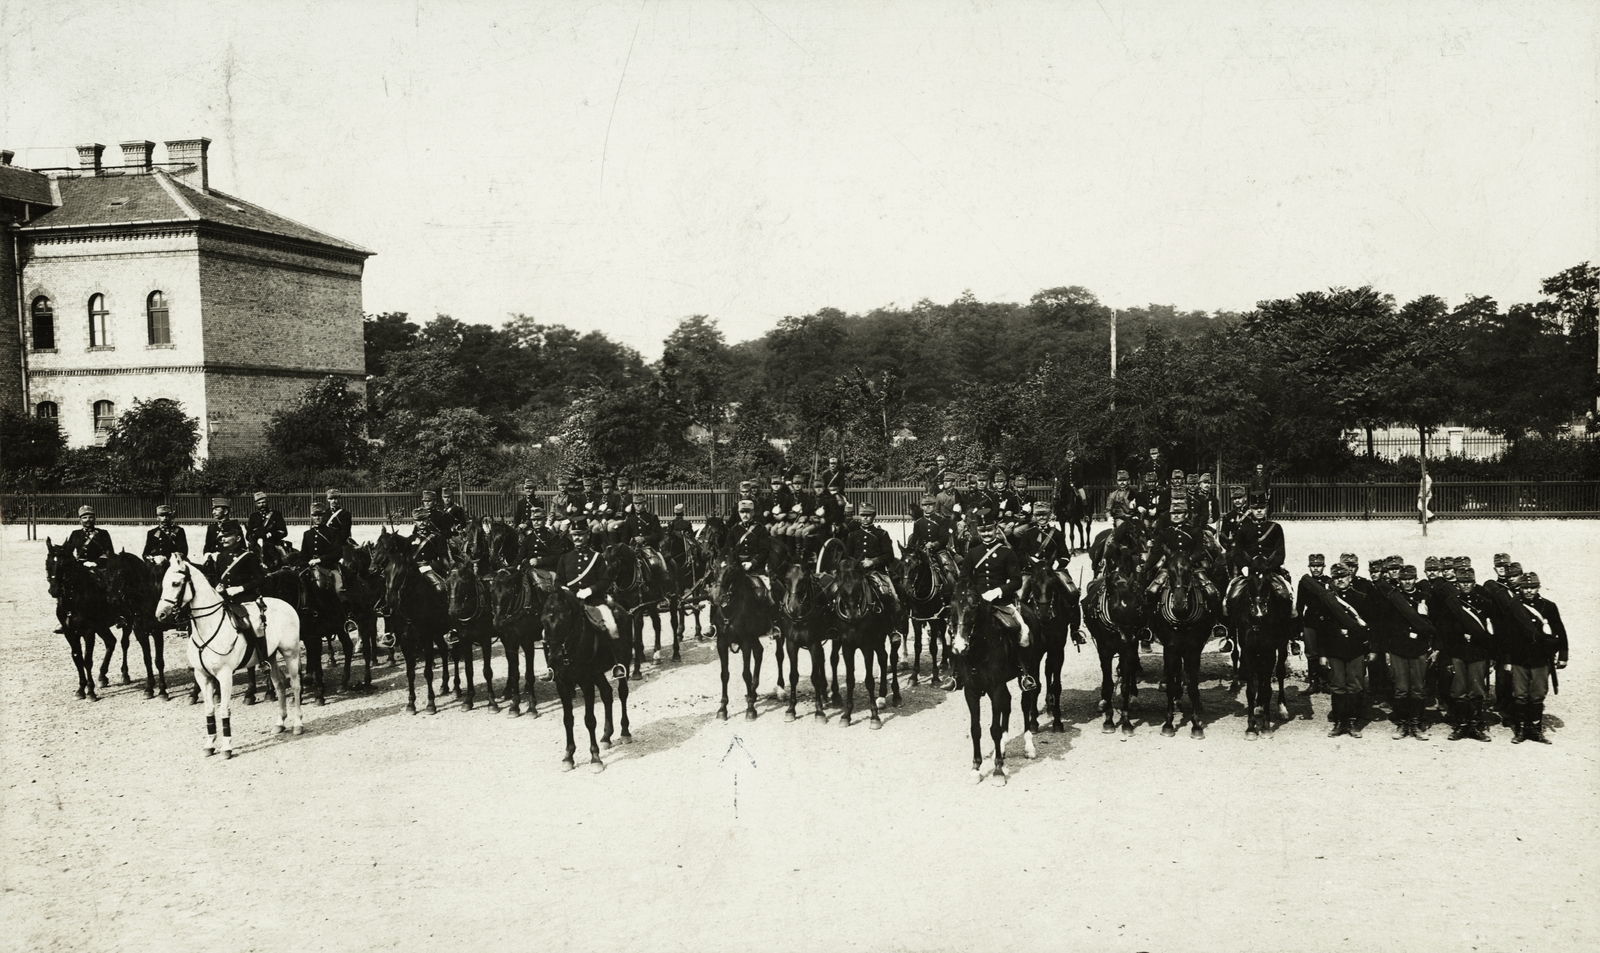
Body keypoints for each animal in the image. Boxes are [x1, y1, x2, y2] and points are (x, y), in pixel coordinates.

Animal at [153, 553, 302, 754]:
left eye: (176, 583)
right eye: (163, 583)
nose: (160, 615)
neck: (207, 627)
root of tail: (286, 604)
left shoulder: (224, 675)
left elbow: (224, 709)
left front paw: (226, 747)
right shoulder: (202, 676)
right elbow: (209, 709)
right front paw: (209, 744)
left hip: (290, 653)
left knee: (295, 684)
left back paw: (298, 724)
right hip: (271, 656)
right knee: (279, 684)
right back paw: (280, 723)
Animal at [544, 585, 630, 770]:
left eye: (563, 620)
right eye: (543, 621)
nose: (554, 659)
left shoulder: (586, 682)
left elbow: (589, 720)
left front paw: (595, 758)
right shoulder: (562, 684)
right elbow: (568, 719)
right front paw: (568, 756)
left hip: (623, 662)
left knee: (622, 693)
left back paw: (625, 732)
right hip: (598, 674)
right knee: (606, 694)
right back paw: (606, 737)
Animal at [707, 553, 768, 719]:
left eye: (732, 569)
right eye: (714, 567)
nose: (716, 596)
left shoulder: (746, 642)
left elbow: (746, 673)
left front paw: (750, 709)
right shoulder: (721, 643)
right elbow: (724, 674)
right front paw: (722, 708)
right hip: (754, 637)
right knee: (759, 652)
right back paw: (753, 692)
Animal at [1228, 569, 1292, 741]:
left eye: (1268, 582)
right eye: (1250, 580)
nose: (1258, 612)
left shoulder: (1269, 653)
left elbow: (1267, 689)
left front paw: (1266, 727)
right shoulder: (1248, 652)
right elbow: (1251, 690)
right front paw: (1251, 728)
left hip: (1281, 646)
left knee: (1280, 672)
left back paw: (1281, 708)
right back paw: (1259, 706)